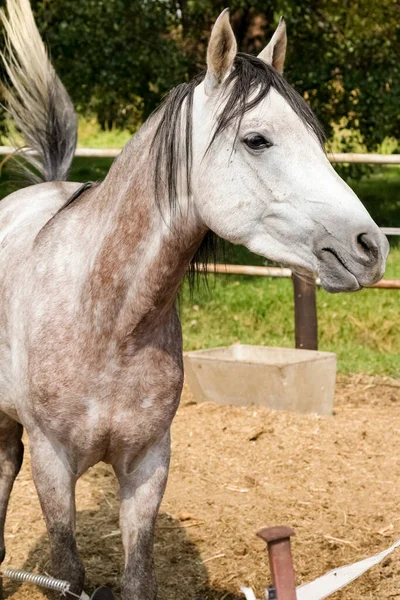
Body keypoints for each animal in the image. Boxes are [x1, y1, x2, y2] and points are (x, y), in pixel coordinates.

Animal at [0, 1, 388, 600]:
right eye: (257, 140)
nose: (371, 248)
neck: (108, 323)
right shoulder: (53, 463)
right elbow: (66, 573)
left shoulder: (148, 463)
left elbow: (139, 578)